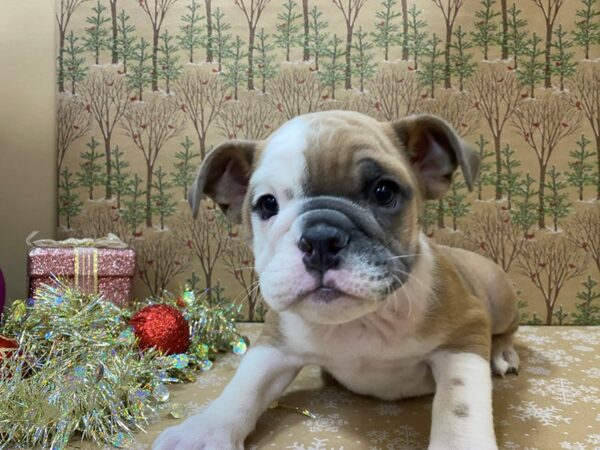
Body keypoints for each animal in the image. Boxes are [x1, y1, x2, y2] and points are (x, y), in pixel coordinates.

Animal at [152, 110, 516, 450]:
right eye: (267, 204)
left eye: (384, 192)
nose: (321, 239)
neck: (361, 321)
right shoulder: (274, 344)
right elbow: (245, 385)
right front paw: (206, 429)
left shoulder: (464, 338)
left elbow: (459, 406)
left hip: (500, 299)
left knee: (505, 332)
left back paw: (502, 355)